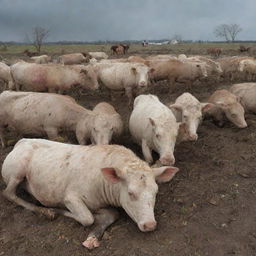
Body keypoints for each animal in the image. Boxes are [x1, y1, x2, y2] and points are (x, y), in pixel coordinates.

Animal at [1, 139, 179, 249]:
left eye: (155, 192)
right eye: (130, 193)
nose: (150, 225)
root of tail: (21, 141)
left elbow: (111, 215)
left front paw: (93, 238)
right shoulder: (70, 197)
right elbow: (87, 218)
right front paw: (54, 210)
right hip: (17, 169)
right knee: (8, 193)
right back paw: (43, 211)